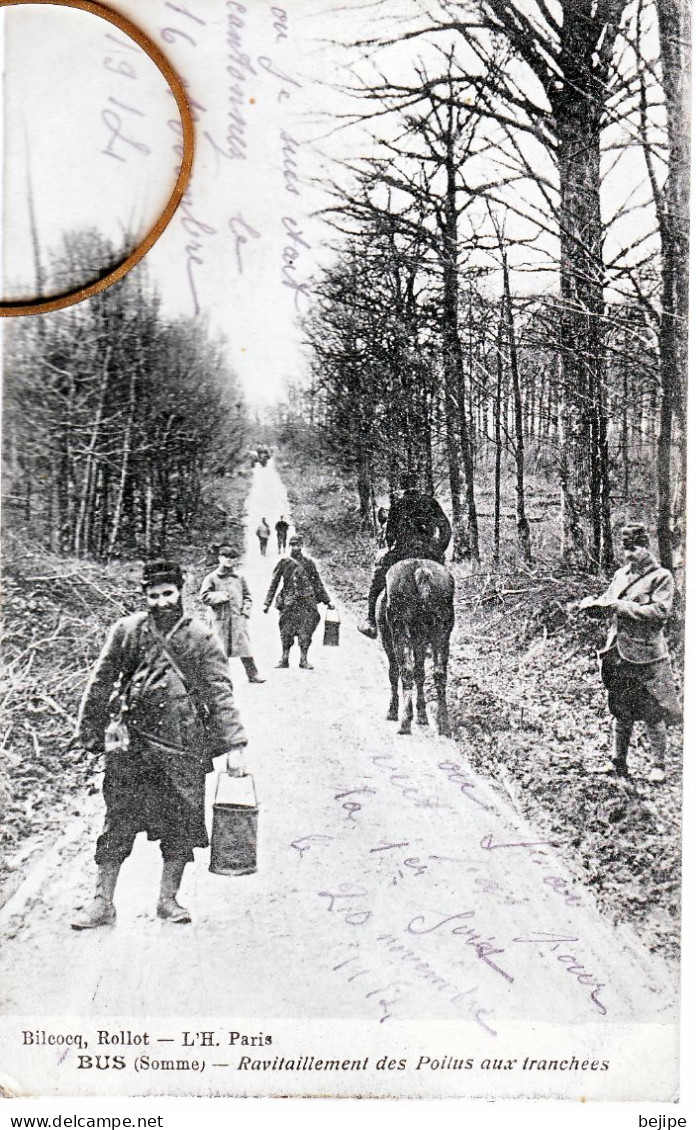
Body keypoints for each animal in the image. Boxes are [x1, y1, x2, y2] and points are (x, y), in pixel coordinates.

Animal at [377, 558, 454, 736]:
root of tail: (422, 572)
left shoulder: (387, 639)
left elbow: (394, 673)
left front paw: (392, 712)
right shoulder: (420, 642)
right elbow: (420, 673)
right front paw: (422, 715)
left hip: (400, 630)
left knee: (405, 670)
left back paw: (404, 722)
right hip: (442, 631)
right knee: (439, 672)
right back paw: (444, 725)